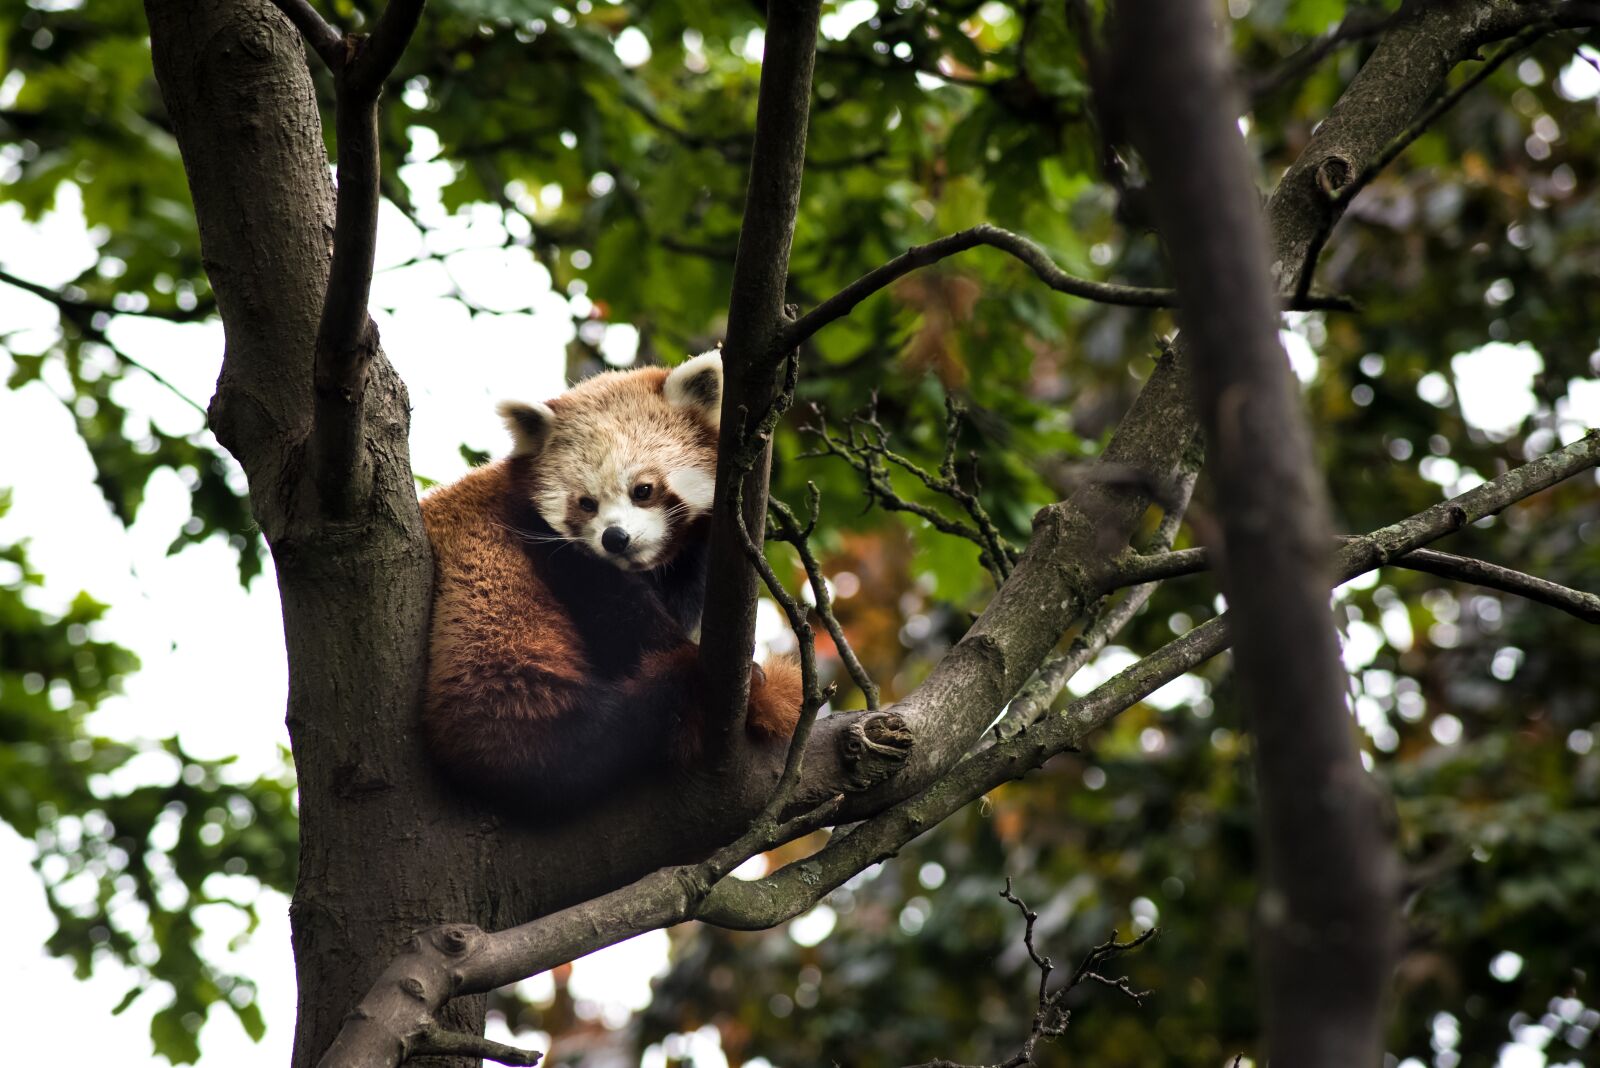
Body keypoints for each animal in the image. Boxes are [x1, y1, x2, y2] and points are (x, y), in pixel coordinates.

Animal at [419, 352, 803, 815]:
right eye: (586, 503)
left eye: (643, 490)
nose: (614, 538)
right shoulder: (547, 546)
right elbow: (621, 616)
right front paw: (695, 659)